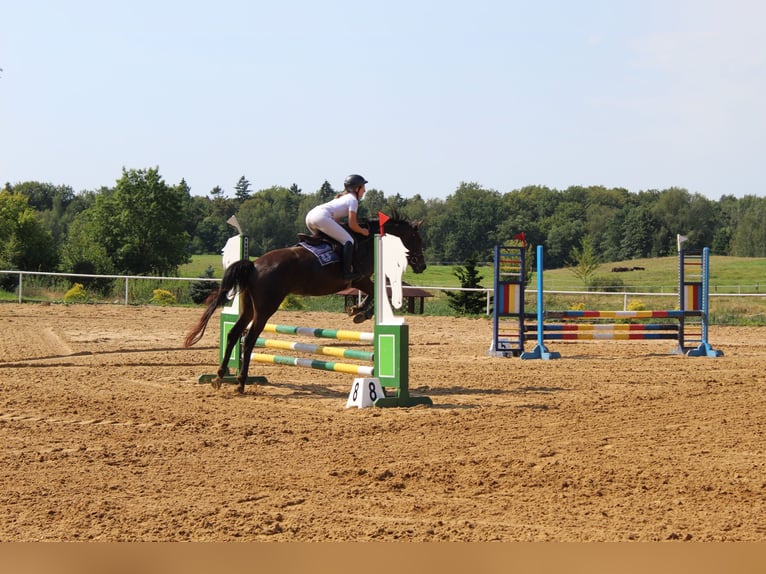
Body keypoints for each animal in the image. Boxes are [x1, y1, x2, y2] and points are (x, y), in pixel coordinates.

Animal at [184, 213, 428, 396]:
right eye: (416, 238)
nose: (422, 266)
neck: (367, 242)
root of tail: (254, 265)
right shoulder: (359, 278)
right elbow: (376, 291)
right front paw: (361, 312)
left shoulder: (361, 280)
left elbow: (377, 290)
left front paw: (358, 311)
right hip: (265, 309)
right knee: (250, 339)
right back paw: (240, 383)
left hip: (249, 307)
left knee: (234, 333)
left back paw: (220, 377)